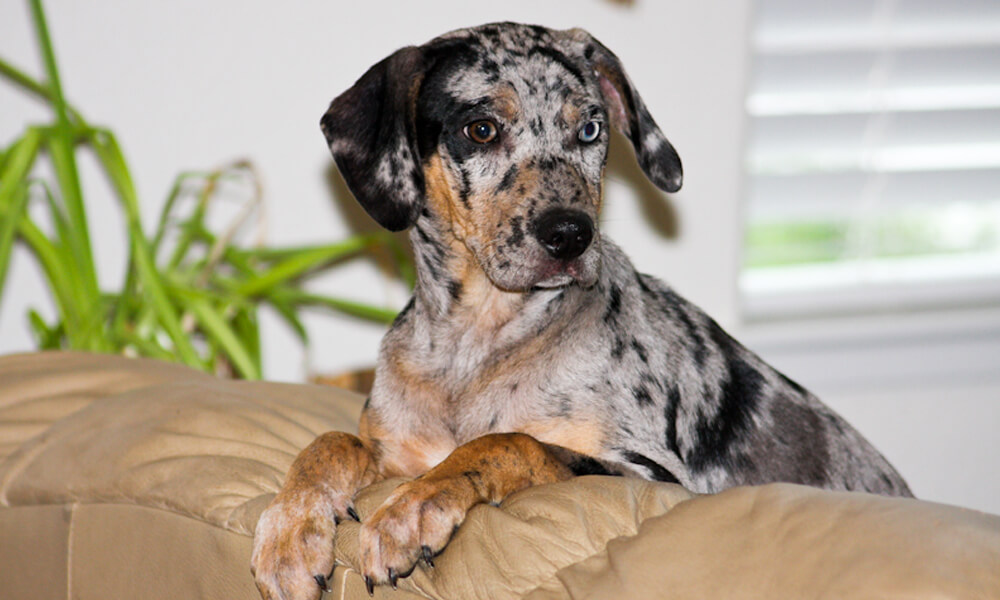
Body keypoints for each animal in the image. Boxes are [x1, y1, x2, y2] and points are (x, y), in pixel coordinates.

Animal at [252, 23, 916, 600]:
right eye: (481, 129)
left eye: (592, 129)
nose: (571, 234)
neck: (477, 345)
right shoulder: (395, 449)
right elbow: (332, 441)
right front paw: (289, 532)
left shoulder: (651, 479)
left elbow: (507, 441)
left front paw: (409, 511)